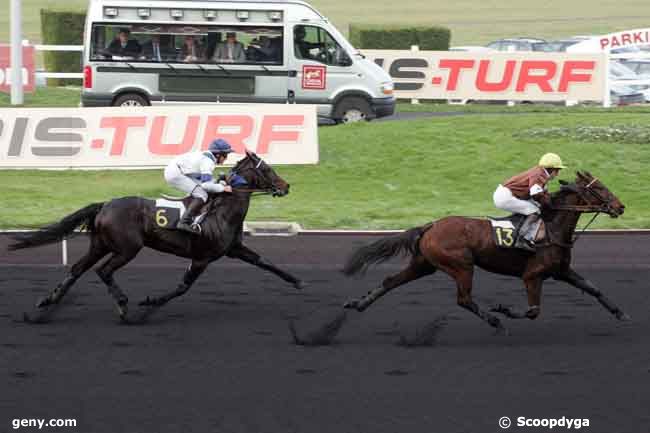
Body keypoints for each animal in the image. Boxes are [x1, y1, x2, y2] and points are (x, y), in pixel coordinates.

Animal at [8, 150, 302, 322]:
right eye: (268, 169)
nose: (286, 186)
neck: (222, 210)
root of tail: (105, 205)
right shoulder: (202, 258)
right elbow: (182, 287)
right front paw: (150, 304)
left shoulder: (233, 249)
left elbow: (264, 262)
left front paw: (296, 281)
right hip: (128, 248)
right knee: (103, 271)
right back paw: (123, 306)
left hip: (100, 244)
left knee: (78, 269)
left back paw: (47, 303)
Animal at [344, 170, 628, 332]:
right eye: (599, 188)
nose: (620, 206)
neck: (552, 227)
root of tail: (431, 226)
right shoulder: (533, 275)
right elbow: (533, 311)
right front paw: (503, 310)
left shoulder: (562, 271)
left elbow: (593, 289)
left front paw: (621, 313)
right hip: (461, 265)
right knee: (463, 299)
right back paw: (494, 321)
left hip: (424, 264)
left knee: (390, 281)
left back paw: (358, 304)